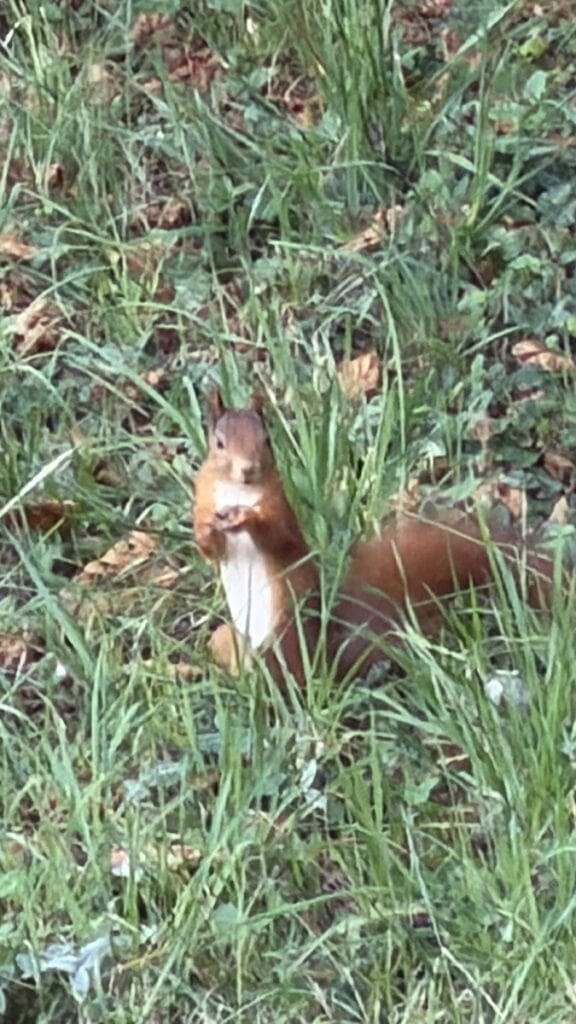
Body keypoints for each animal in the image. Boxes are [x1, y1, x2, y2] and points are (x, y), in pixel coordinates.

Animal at [194, 391, 556, 686]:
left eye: (267, 440)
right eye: (219, 443)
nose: (248, 469)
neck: (236, 491)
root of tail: (326, 663)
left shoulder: (280, 509)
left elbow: (278, 537)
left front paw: (246, 518)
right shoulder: (204, 498)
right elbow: (212, 551)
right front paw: (205, 532)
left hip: (281, 641)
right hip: (231, 638)